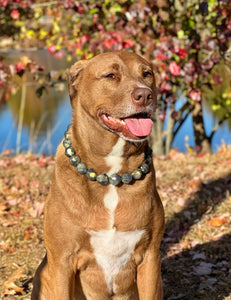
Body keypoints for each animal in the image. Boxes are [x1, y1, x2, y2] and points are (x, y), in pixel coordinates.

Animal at [31, 51, 164, 300]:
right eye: (111, 75)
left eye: (147, 74)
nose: (144, 95)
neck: (111, 176)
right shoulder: (62, 262)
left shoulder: (150, 257)